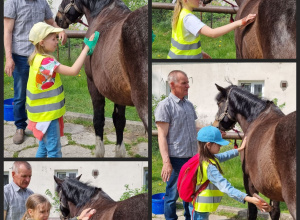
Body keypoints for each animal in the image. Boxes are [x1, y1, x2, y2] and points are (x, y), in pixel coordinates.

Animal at [54, 0, 148, 157]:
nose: (57, 19)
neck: (103, 14)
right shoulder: (118, 91)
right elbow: (119, 121)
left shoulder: (92, 84)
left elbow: (98, 119)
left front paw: (99, 152)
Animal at [213, 84, 296, 218]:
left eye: (219, 103)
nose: (216, 126)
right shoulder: (273, 186)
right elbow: (274, 212)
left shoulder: (248, 179)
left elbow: (252, 210)